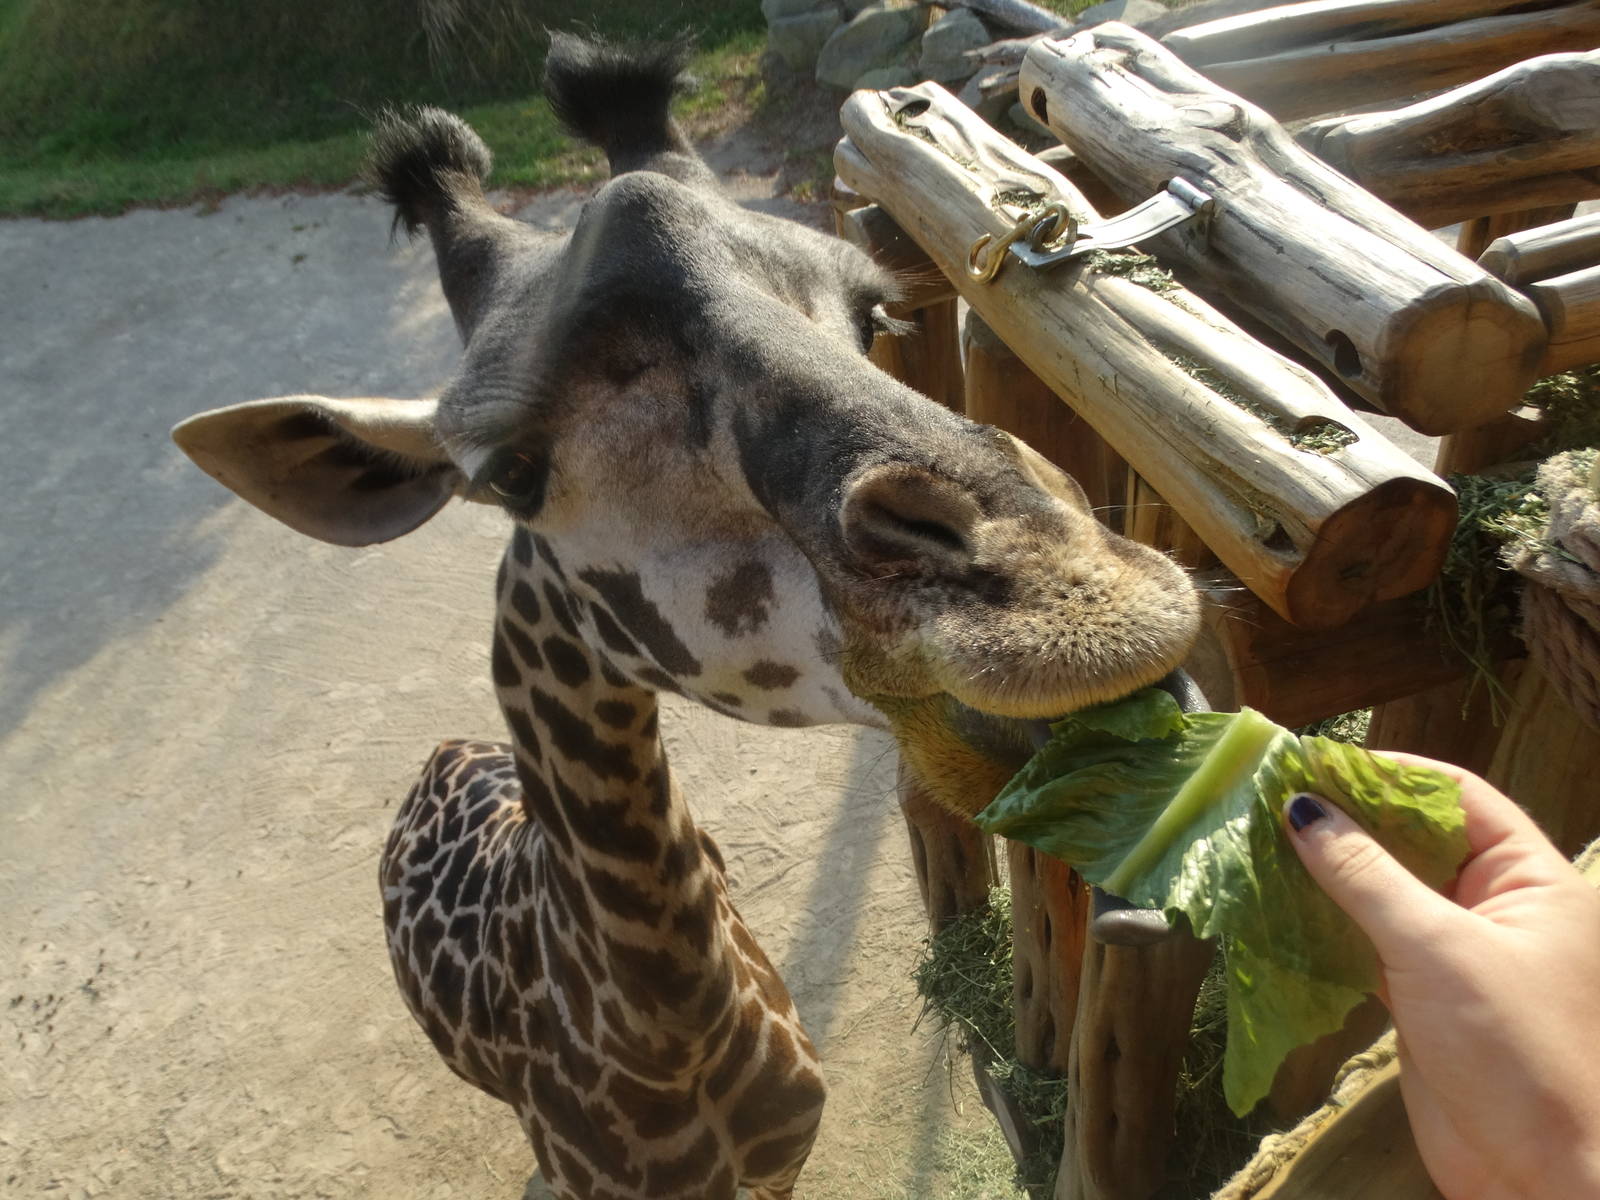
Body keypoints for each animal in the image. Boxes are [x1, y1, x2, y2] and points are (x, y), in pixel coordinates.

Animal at [171, 33, 1201, 1200]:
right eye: (511, 473)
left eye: (875, 316)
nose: (1083, 600)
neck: (672, 1034)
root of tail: (447, 751)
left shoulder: (780, 1167)